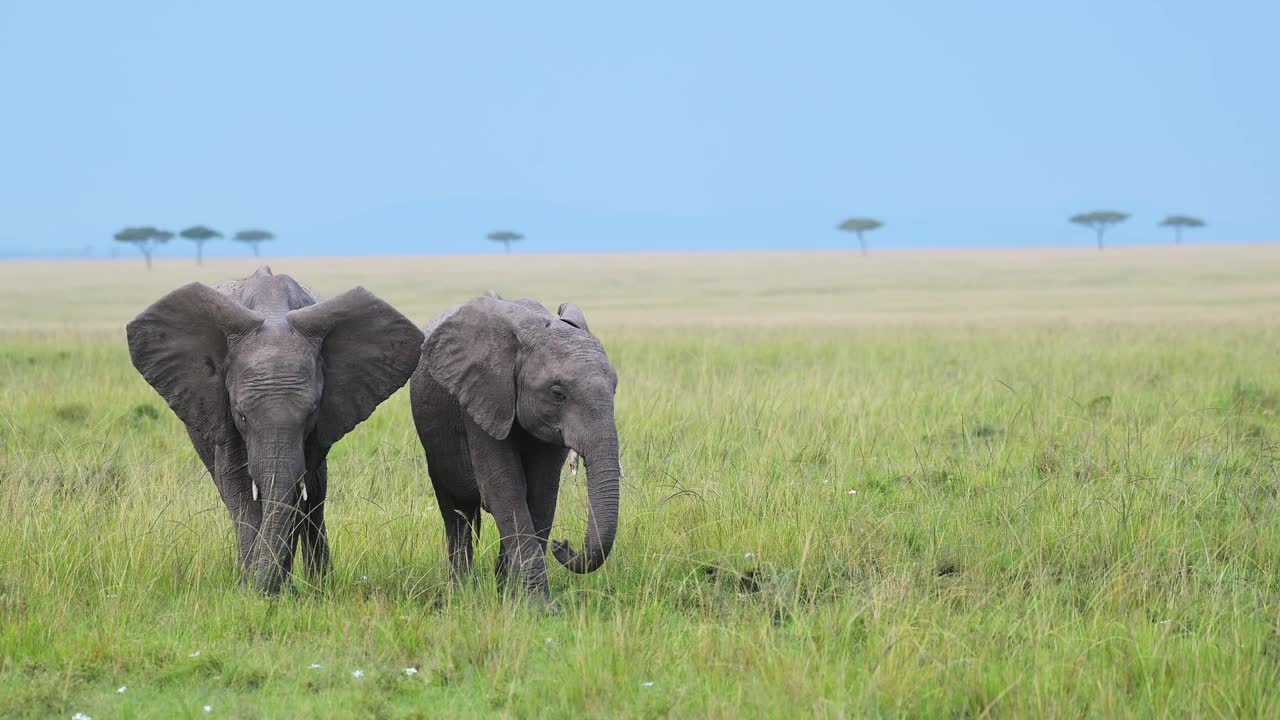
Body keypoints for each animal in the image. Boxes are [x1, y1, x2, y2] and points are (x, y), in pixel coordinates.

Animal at [124, 266, 417, 591]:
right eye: (241, 415)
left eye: (312, 412)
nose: (266, 588)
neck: (272, 310)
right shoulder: (222, 412)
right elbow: (240, 491)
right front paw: (252, 590)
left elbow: (298, 491)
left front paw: (279, 591)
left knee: (316, 498)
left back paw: (319, 583)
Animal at [412, 293, 622, 604]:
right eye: (557, 394)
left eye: (615, 389)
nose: (563, 545)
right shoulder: (481, 397)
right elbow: (505, 488)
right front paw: (539, 607)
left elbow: (541, 494)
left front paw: (517, 600)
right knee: (456, 515)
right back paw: (461, 594)